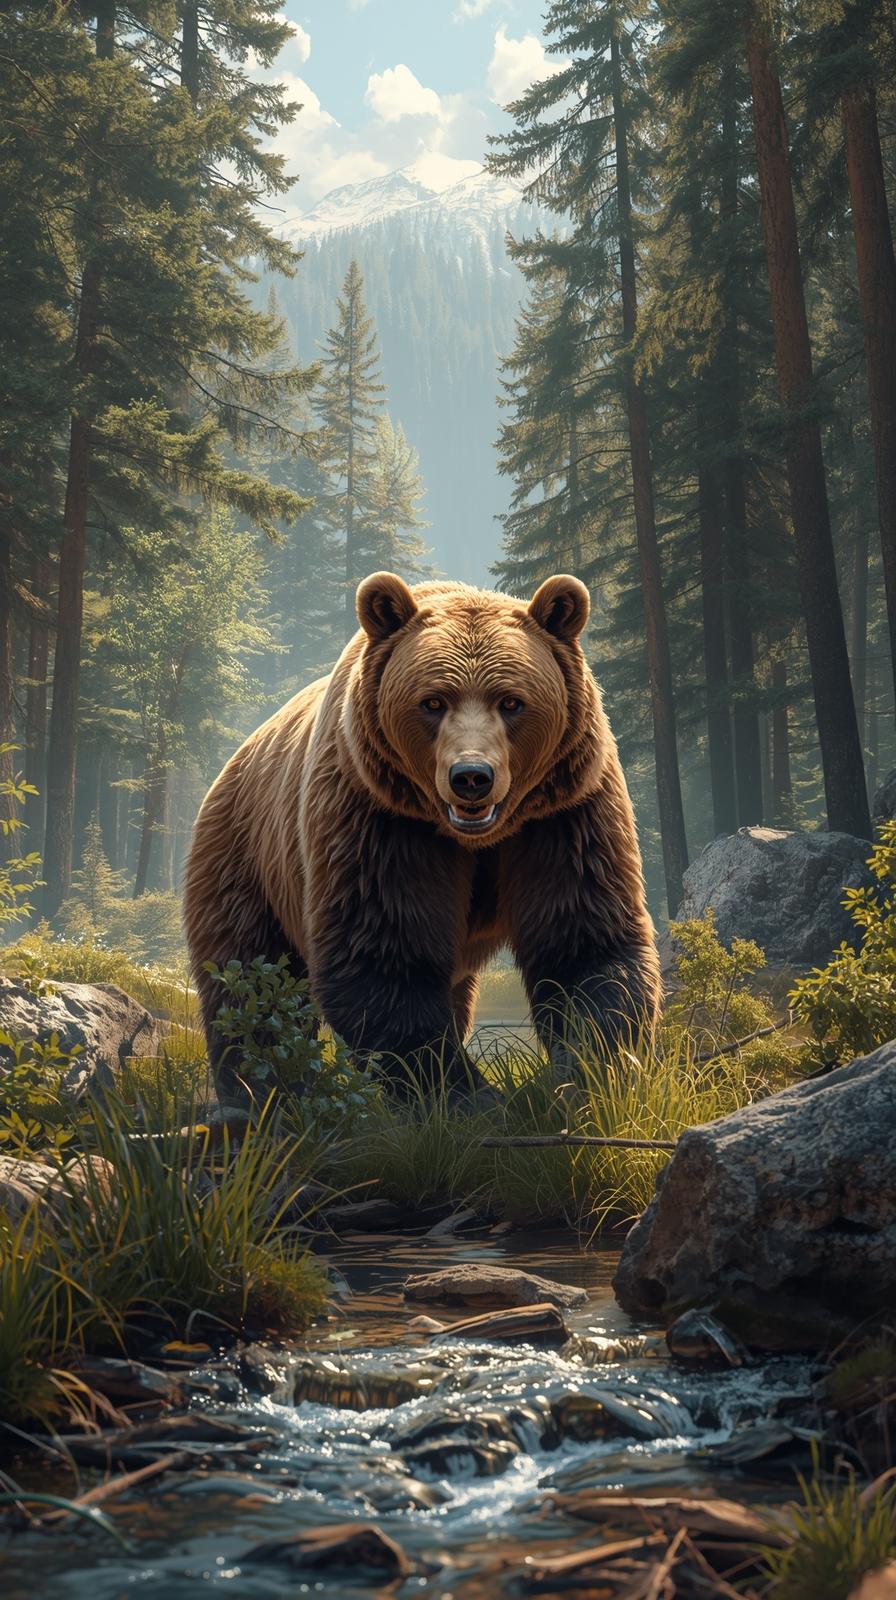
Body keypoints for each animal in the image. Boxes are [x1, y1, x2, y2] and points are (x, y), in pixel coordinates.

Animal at [183, 572, 660, 1101]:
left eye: (511, 702)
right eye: (433, 701)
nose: (471, 776)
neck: (477, 836)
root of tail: (234, 759)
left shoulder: (564, 813)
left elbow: (581, 939)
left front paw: (590, 1071)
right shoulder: (379, 817)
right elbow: (386, 953)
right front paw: (464, 1094)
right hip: (246, 858)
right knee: (253, 981)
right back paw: (259, 1091)